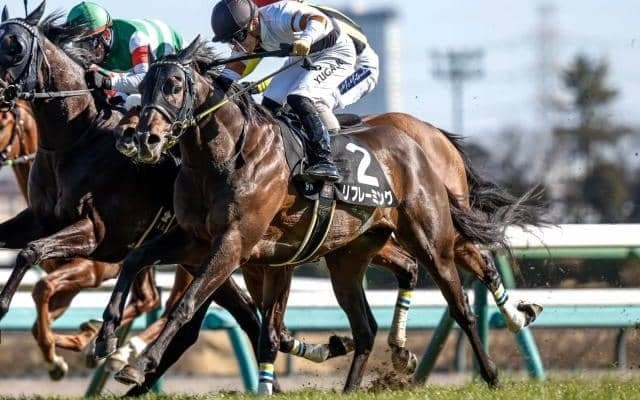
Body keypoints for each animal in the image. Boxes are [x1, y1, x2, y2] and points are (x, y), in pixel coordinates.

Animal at [95, 38, 542, 394]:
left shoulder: (234, 242)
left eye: (173, 86)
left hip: (431, 239)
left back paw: (494, 367)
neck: (223, 159)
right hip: (348, 258)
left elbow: (189, 306)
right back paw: (353, 385)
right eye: (141, 87)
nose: (145, 139)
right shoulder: (196, 239)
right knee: (366, 327)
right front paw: (106, 338)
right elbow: (135, 260)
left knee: (461, 301)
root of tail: (420, 140)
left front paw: (138, 365)